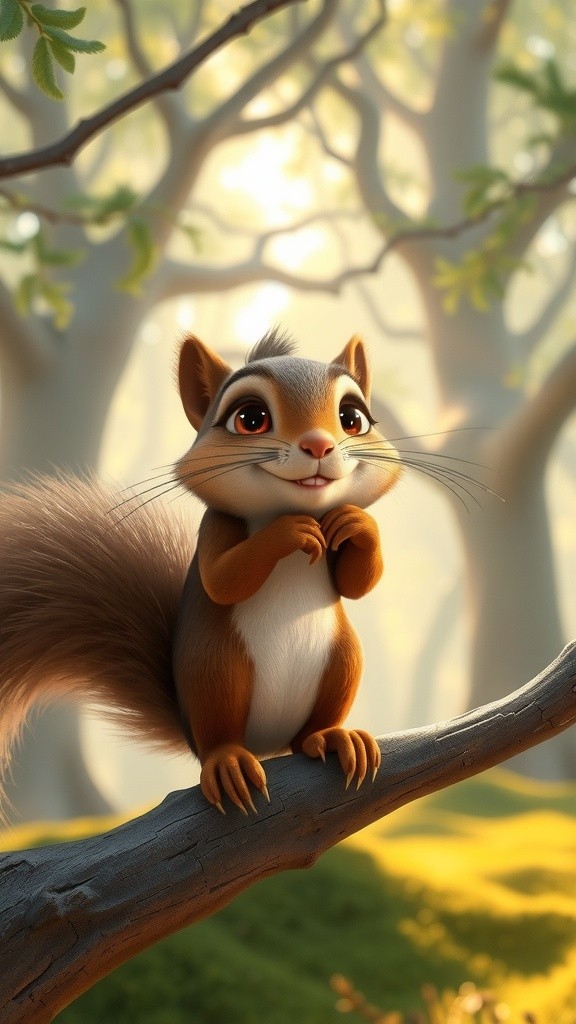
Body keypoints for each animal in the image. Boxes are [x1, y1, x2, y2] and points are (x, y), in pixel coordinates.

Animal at [0, 329, 401, 816]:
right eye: (250, 418)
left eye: (353, 418)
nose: (319, 445)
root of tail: (264, 745)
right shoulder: (216, 525)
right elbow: (223, 580)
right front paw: (289, 530)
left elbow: (357, 584)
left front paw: (358, 523)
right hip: (215, 671)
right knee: (218, 739)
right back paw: (228, 764)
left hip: (342, 661)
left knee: (307, 736)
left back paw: (333, 737)